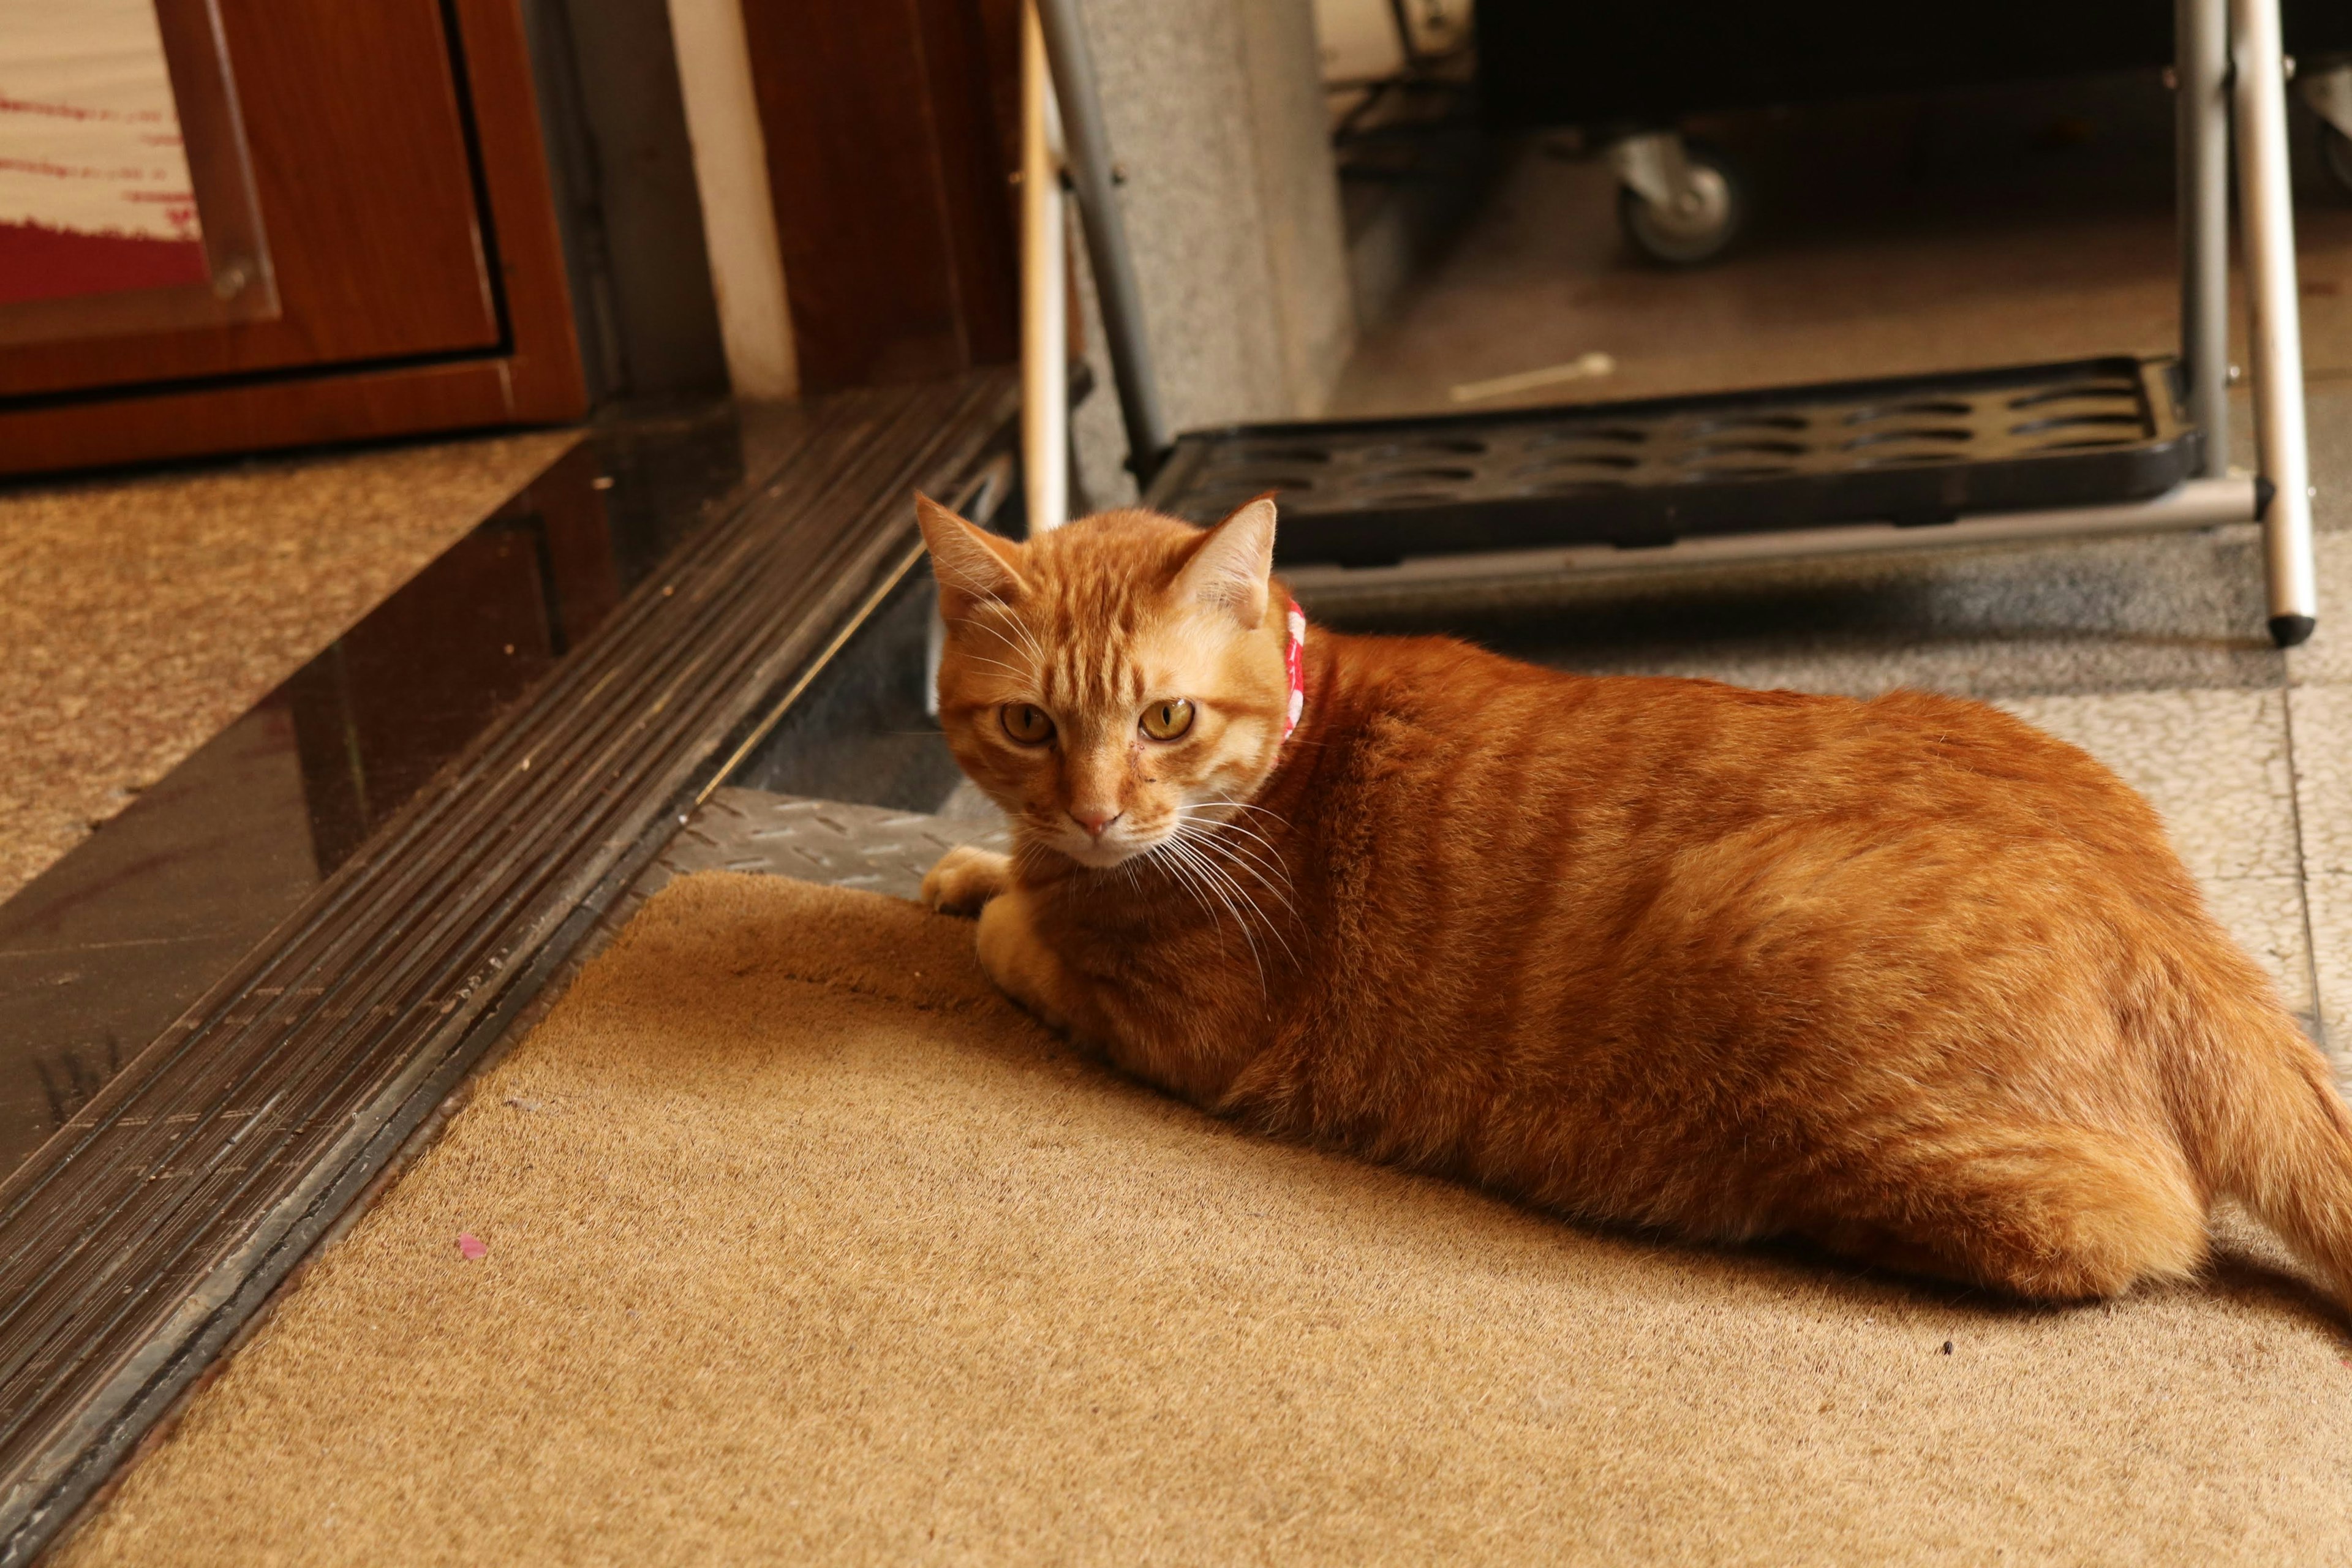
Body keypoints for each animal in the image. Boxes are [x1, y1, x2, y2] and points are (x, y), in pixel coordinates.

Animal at [912, 496, 2352, 1306]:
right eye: (1031, 724)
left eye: (1164, 719)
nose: (1096, 811)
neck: (1282, 755)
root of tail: (2179, 929)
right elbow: (1009, 873)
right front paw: (977, 863)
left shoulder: (1182, 1026)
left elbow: (1026, 940)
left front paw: (1002, 898)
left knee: (2134, 1236)